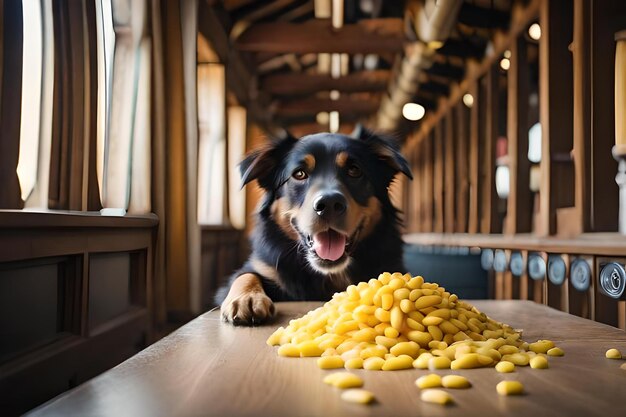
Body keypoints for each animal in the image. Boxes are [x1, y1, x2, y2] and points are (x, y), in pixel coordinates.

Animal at [214, 127, 410, 324]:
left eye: (354, 170)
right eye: (299, 174)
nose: (329, 204)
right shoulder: (261, 268)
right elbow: (245, 275)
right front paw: (247, 298)